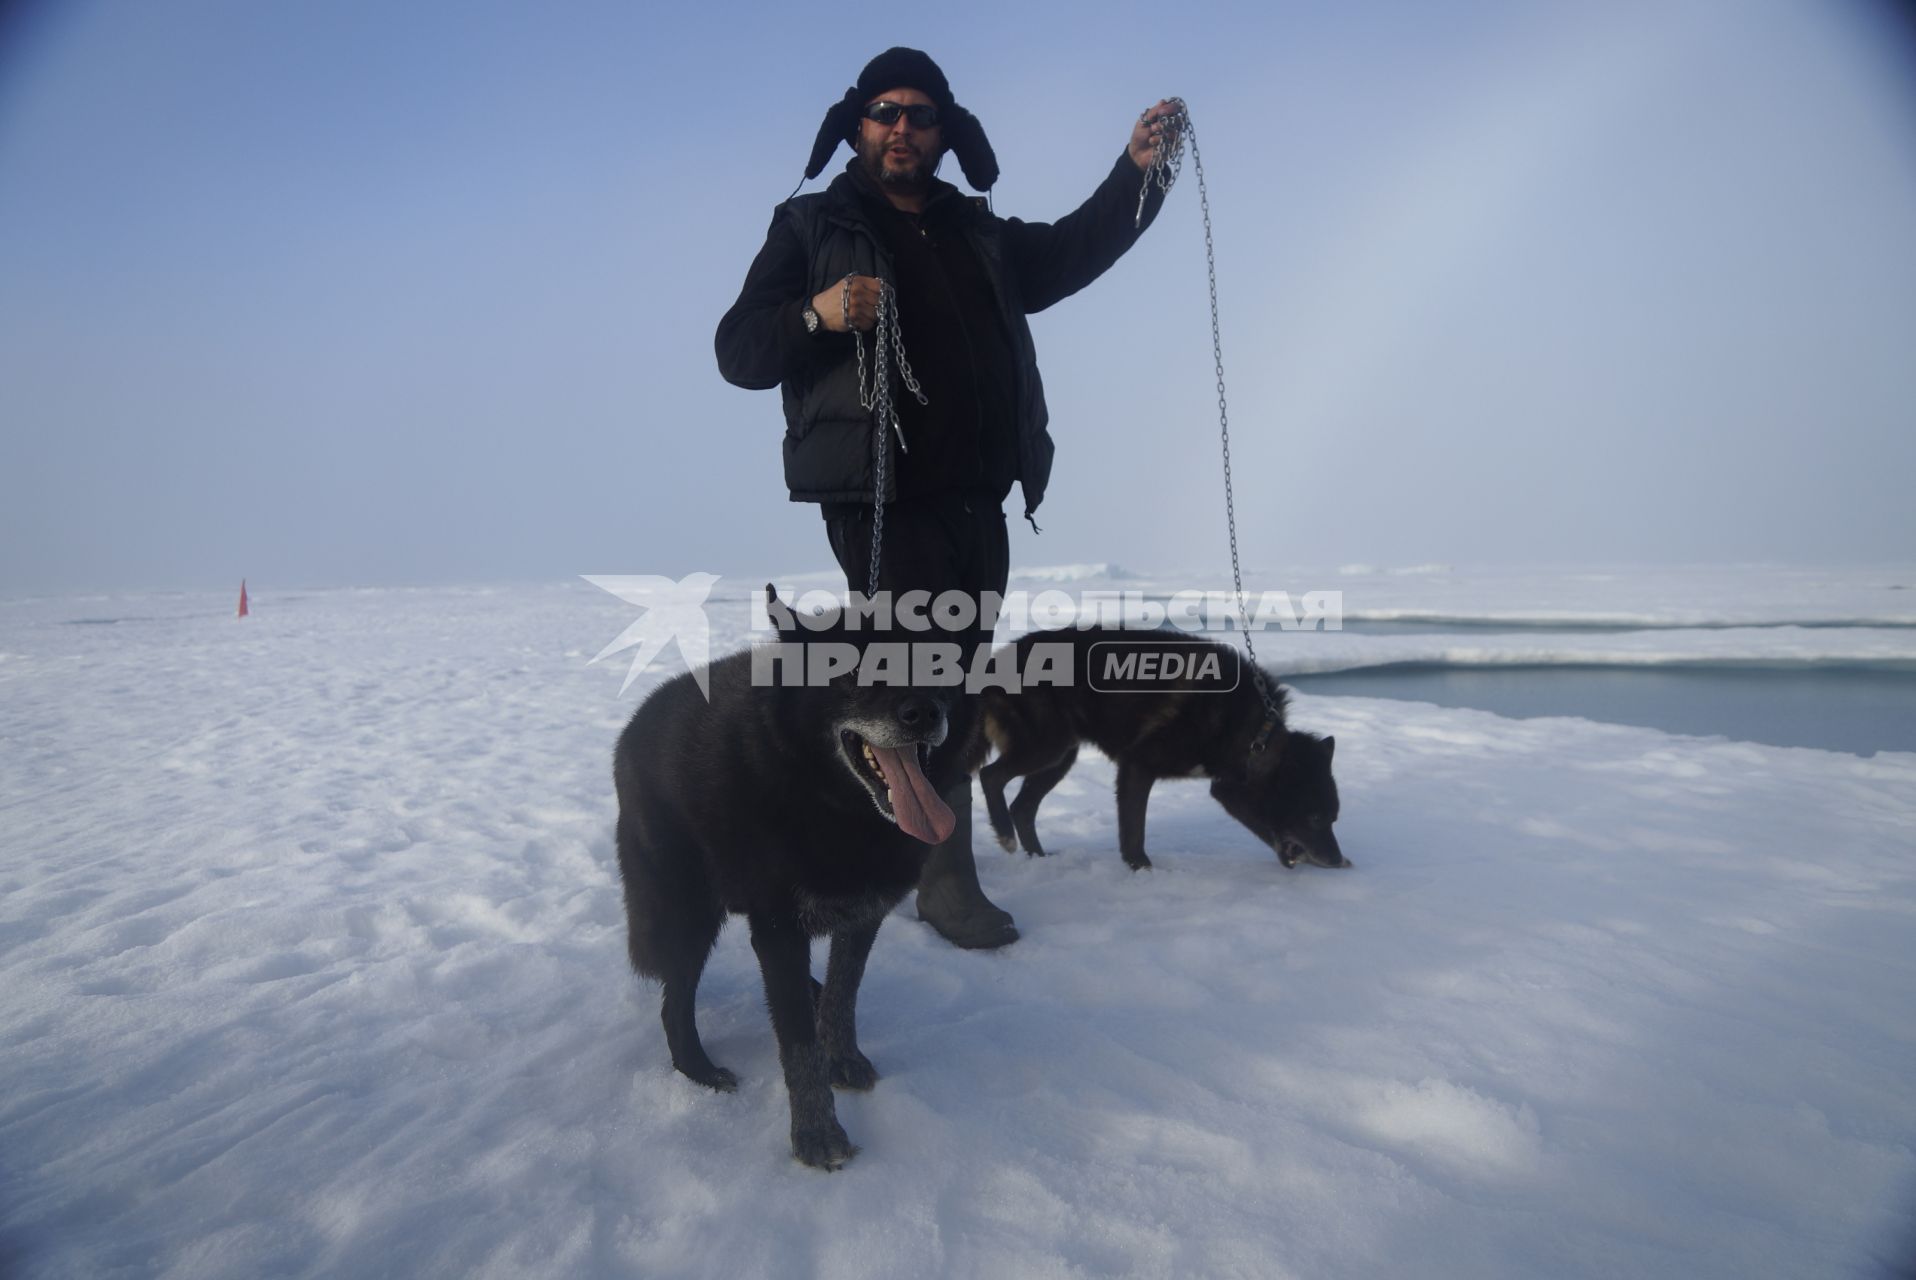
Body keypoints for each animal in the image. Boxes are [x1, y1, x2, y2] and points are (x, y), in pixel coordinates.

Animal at [609, 586, 973, 1165]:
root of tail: (630, 730)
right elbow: (798, 1042)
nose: (923, 712)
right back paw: (700, 1069)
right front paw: (817, 1134)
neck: (834, 807)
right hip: (689, 916)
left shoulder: (863, 914)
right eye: (851, 670)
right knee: (674, 1005)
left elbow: (844, 996)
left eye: (932, 664)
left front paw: (842, 1057)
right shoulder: (779, 930)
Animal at [988, 628, 1348, 869]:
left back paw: (1038, 858)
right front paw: (1142, 870)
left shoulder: (1224, 786)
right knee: (991, 775)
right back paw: (1005, 835)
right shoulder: (1136, 766)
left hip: (1060, 758)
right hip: (1045, 748)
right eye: (1316, 817)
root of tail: (996, 659)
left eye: (1333, 818)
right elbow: (1134, 831)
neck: (1253, 736)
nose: (1338, 860)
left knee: (1022, 807)